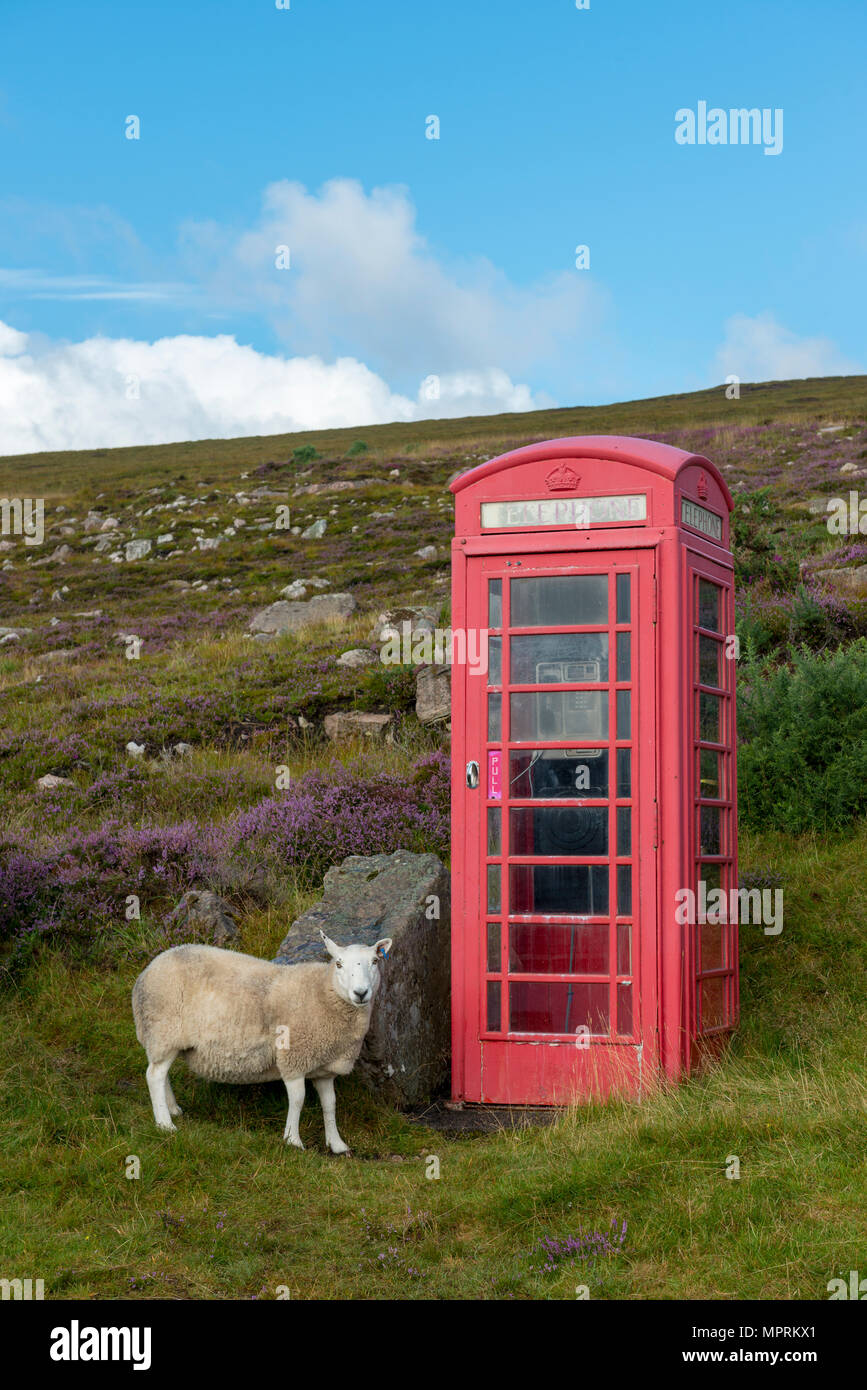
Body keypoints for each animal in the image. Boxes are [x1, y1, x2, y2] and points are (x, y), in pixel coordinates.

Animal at [131, 929, 392, 1153]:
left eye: (375, 962)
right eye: (338, 964)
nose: (361, 993)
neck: (323, 994)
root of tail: (148, 970)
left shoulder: (324, 1068)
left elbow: (330, 1104)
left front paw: (336, 1144)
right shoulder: (293, 1058)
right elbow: (298, 1100)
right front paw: (292, 1140)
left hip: (164, 1038)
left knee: (160, 1072)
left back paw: (172, 1109)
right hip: (164, 1030)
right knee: (154, 1075)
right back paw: (165, 1124)